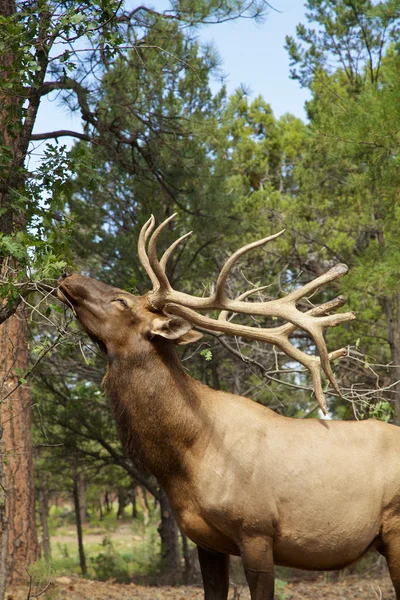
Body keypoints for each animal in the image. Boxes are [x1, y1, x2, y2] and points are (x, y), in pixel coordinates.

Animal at [56, 217, 400, 600]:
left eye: (122, 301)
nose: (68, 275)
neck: (182, 462)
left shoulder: (256, 531)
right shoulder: (206, 542)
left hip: (395, 530)